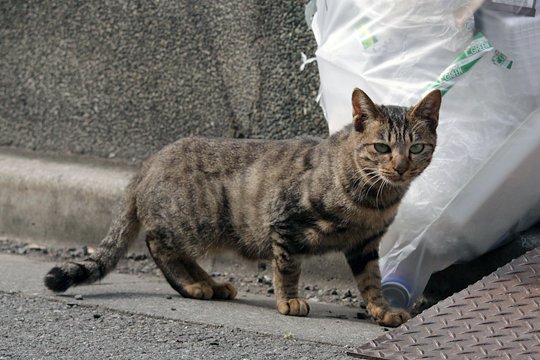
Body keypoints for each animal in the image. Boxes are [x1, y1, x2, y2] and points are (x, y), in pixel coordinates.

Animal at [44, 88, 440, 328]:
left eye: (417, 147)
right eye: (382, 147)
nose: (401, 166)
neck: (372, 200)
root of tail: (153, 157)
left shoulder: (365, 244)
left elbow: (371, 280)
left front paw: (381, 309)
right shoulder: (284, 223)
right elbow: (287, 269)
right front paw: (290, 301)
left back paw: (209, 283)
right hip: (192, 223)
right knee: (157, 245)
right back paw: (193, 286)